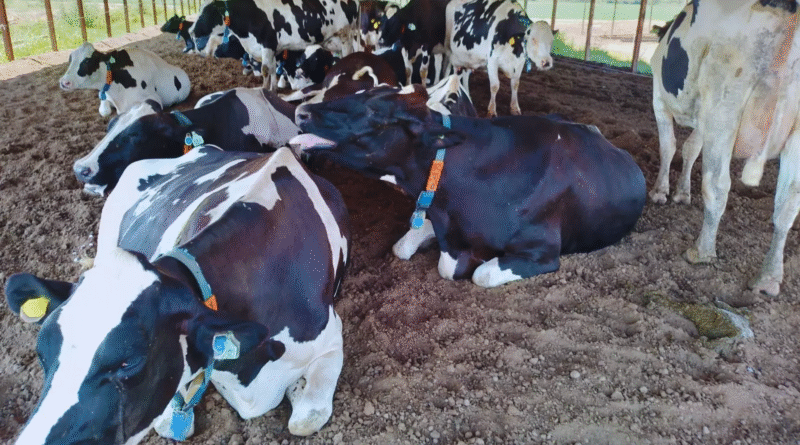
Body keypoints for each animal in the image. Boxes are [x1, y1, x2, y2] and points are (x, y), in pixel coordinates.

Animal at [5, 145, 351, 443]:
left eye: (129, 362)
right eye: (42, 352)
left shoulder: (332, 338)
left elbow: (305, 420)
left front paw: (298, 388)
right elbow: (172, 422)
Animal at [188, 0, 358, 90]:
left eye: (209, 10)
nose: (191, 30)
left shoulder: (267, 44)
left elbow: (265, 70)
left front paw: (264, 90)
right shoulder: (273, 48)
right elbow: (272, 69)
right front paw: (273, 90)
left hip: (346, 35)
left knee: (348, 56)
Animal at [290, 86, 646, 287]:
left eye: (375, 113)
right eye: (360, 94)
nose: (301, 110)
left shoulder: (541, 251)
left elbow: (479, 273)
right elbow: (403, 247)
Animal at [649, 0, 800, 296]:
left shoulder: (659, 98)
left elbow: (669, 147)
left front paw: (661, 191)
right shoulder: (702, 119)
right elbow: (690, 149)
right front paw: (682, 193)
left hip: (724, 107)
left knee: (717, 185)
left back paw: (702, 251)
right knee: (788, 204)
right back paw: (768, 278)